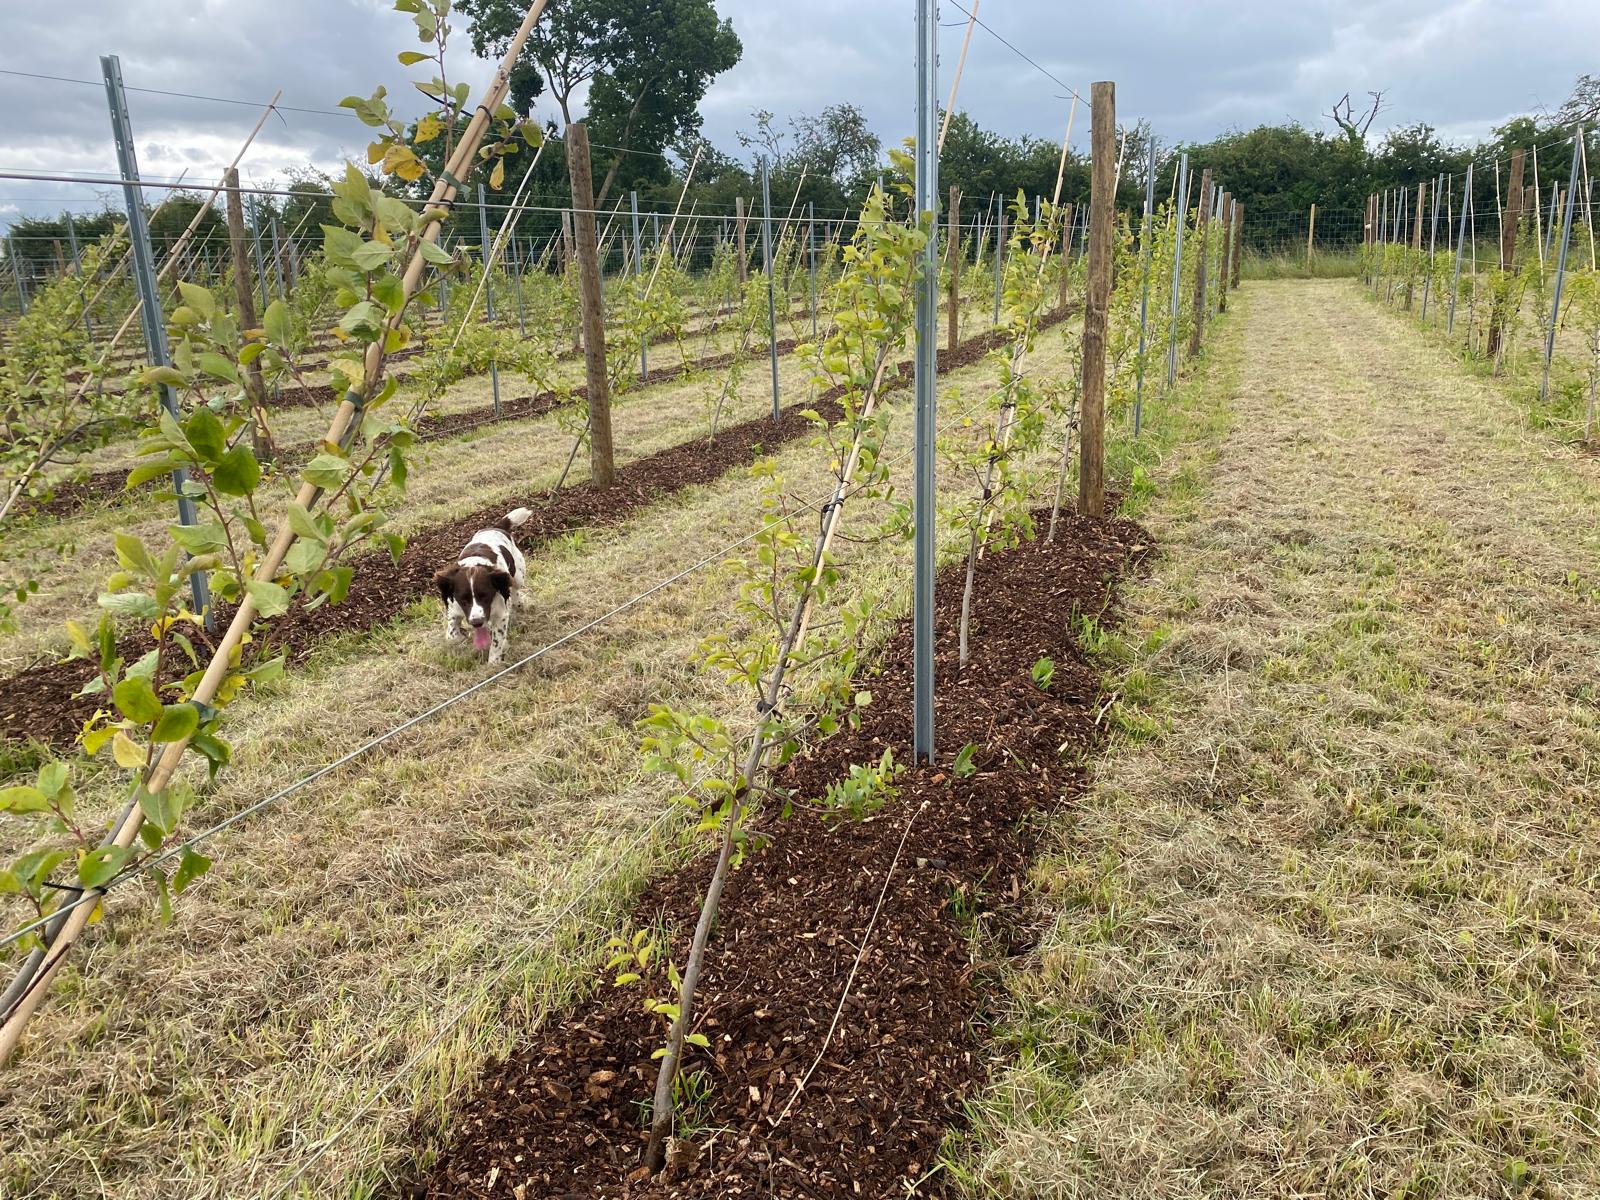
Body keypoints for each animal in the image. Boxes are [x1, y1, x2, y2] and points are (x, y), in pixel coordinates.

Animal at [435, 508, 534, 668]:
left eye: (485, 596)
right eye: (463, 600)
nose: (476, 622)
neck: (473, 564)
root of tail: (496, 527)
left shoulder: (500, 615)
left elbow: (496, 642)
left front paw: (493, 663)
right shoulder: (454, 608)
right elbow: (452, 634)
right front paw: (458, 638)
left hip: (518, 576)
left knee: (514, 589)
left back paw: (517, 604)